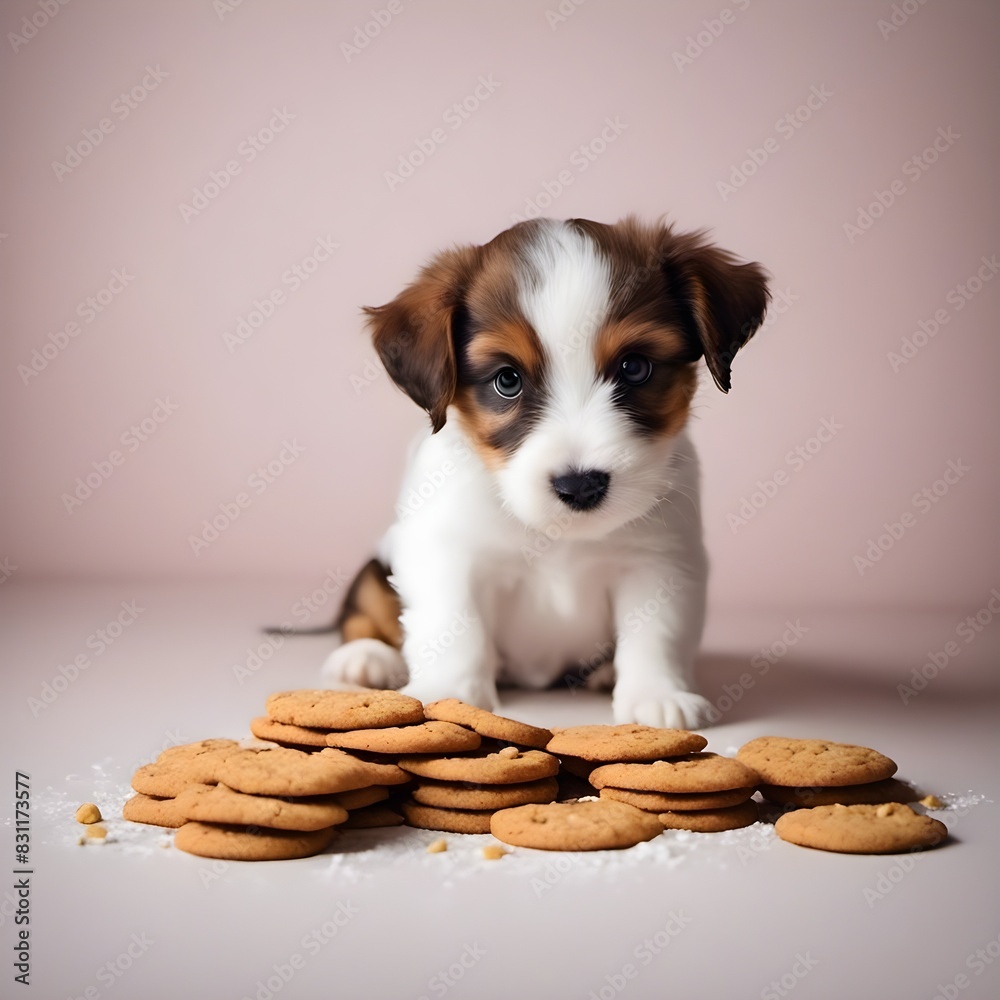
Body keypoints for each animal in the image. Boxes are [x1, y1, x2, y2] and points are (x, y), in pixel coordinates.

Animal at [324, 217, 768, 728]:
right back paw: (366, 656)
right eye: (507, 380)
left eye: (635, 367)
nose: (580, 486)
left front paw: (657, 693)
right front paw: (448, 692)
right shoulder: (445, 551)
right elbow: (452, 624)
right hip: (376, 567)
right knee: (364, 609)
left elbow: (657, 631)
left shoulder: (660, 560)